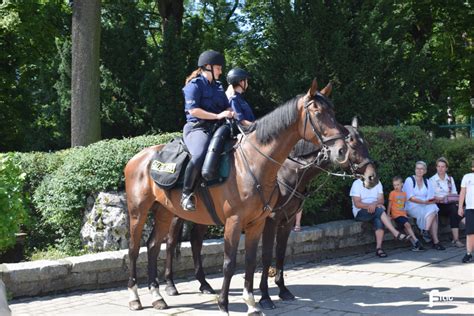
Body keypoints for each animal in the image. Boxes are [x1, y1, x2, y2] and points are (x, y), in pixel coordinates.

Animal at [125, 78, 348, 314]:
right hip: (138, 212)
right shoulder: (234, 221)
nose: (341, 150)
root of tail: (138, 157)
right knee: (134, 249)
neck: (253, 162)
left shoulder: (257, 223)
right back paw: (135, 297)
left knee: (152, 246)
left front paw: (251, 302)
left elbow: (250, 260)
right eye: (317, 112)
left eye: (333, 111)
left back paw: (157, 295)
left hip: (164, 212)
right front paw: (224, 303)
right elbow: (229, 263)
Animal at [163, 118, 378, 308]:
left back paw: (204, 283)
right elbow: (266, 255)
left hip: (204, 215)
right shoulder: (270, 221)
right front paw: (265, 295)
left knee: (196, 241)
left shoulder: (287, 221)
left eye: (366, 143)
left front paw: (282, 289)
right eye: (352, 145)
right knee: (171, 242)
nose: (372, 177)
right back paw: (170, 285)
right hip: (175, 214)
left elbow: (280, 253)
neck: (289, 171)